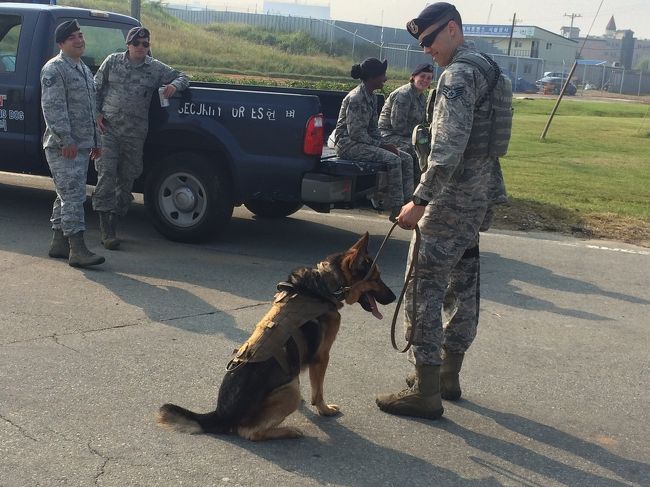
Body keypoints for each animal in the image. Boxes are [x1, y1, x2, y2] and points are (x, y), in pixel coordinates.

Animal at [156, 233, 394, 442]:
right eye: (376, 278)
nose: (393, 298)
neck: (326, 283)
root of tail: (221, 414)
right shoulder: (322, 357)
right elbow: (318, 392)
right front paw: (324, 410)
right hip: (290, 391)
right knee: (248, 432)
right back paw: (287, 431)